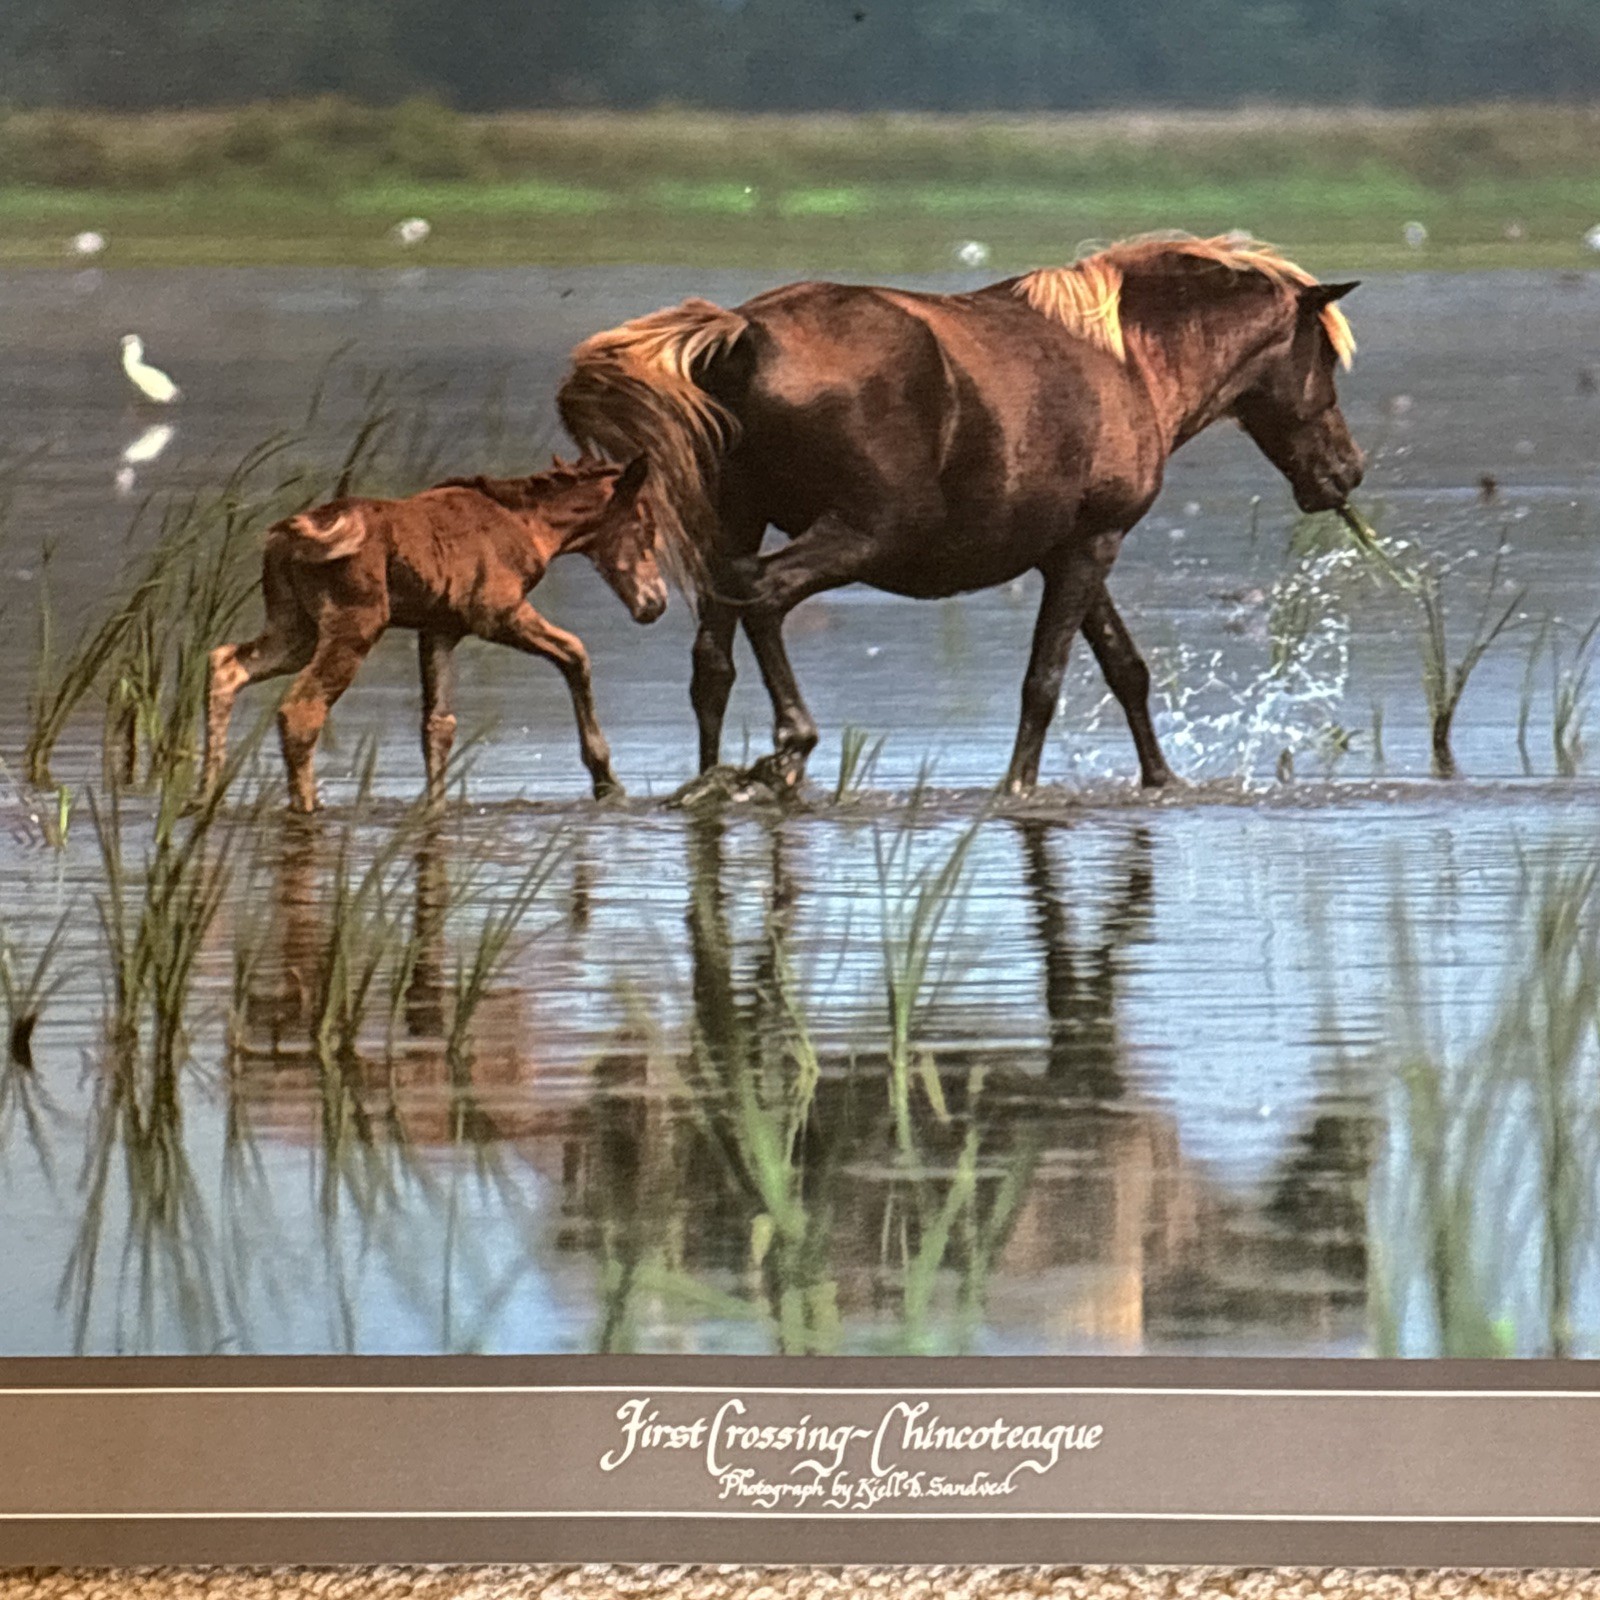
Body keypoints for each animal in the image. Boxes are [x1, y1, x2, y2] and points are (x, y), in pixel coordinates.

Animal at [203, 455, 665, 813]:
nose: (655, 603)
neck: (531, 525)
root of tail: (286, 538)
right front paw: (607, 782)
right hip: (354, 625)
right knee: (301, 710)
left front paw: (434, 807)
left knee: (226, 664)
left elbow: (438, 725)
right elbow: (575, 653)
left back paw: (203, 796)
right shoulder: (497, 615)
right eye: (644, 528)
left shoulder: (439, 629)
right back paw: (306, 806)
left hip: (295, 629)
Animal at [556, 233, 1363, 794]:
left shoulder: (1070, 548)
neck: (1129, 362)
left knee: (712, 663)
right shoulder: (1092, 545)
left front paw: (1163, 779)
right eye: (1324, 357)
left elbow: (1125, 668)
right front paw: (1018, 787)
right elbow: (1045, 681)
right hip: (860, 535)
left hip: (733, 525)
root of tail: (742, 335)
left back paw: (714, 778)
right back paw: (790, 744)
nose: (1345, 471)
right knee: (764, 596)